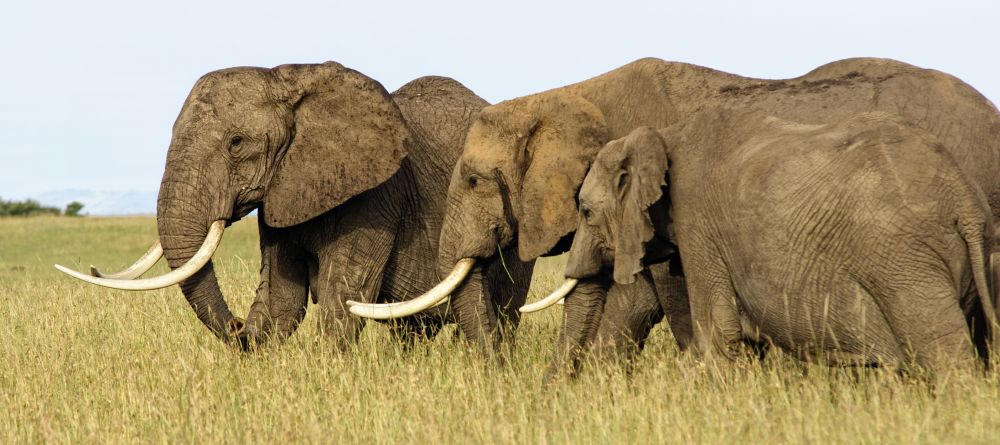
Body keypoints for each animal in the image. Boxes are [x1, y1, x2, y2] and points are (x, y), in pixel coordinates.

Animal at [56, 62, 534, 352]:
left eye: (236, 143)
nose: (236, 325)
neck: (292, 80)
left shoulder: (378, 195)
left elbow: (344, 299)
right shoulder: (281, 191)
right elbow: (282, 302)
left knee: (501, 310)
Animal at [564, 110, 999, 374]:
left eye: (585, 211)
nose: (562, 387)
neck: (663, 134)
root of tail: (963, 197)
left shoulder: (697, 222)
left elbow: (718, 335)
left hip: (904, 264)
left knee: (946, 353)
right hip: (977, 261)